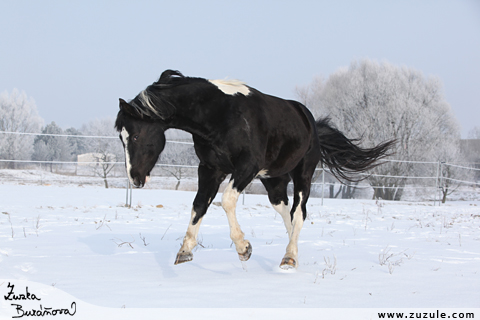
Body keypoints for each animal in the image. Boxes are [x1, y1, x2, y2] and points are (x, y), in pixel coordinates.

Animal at [115, 69, 394, 268]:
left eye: (136, 136)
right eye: (121, 137)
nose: (135, 178)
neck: (221, 115)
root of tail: (309, 120)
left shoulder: (246, 166)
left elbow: (227, 200)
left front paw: (244, 248)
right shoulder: (210, 169)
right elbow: (199, 205)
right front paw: (184, 251)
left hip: (303, 174)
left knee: (299, 212)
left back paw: (289, 258)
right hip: (274, 181)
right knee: (287, 214)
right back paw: (291, 252)